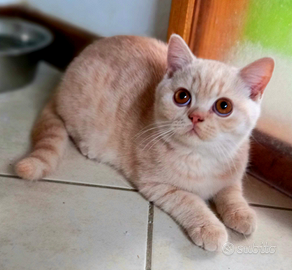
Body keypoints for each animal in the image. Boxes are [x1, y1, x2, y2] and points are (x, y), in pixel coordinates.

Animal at [14, 33, 274, 251]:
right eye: (182, 96)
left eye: (224, 106)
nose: (196, 117)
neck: (201, 158)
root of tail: (61, 81)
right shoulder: (158, 185)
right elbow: (190, 201)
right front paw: (209, 227)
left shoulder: (232, 173)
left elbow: (232, 192)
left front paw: (242, 214)